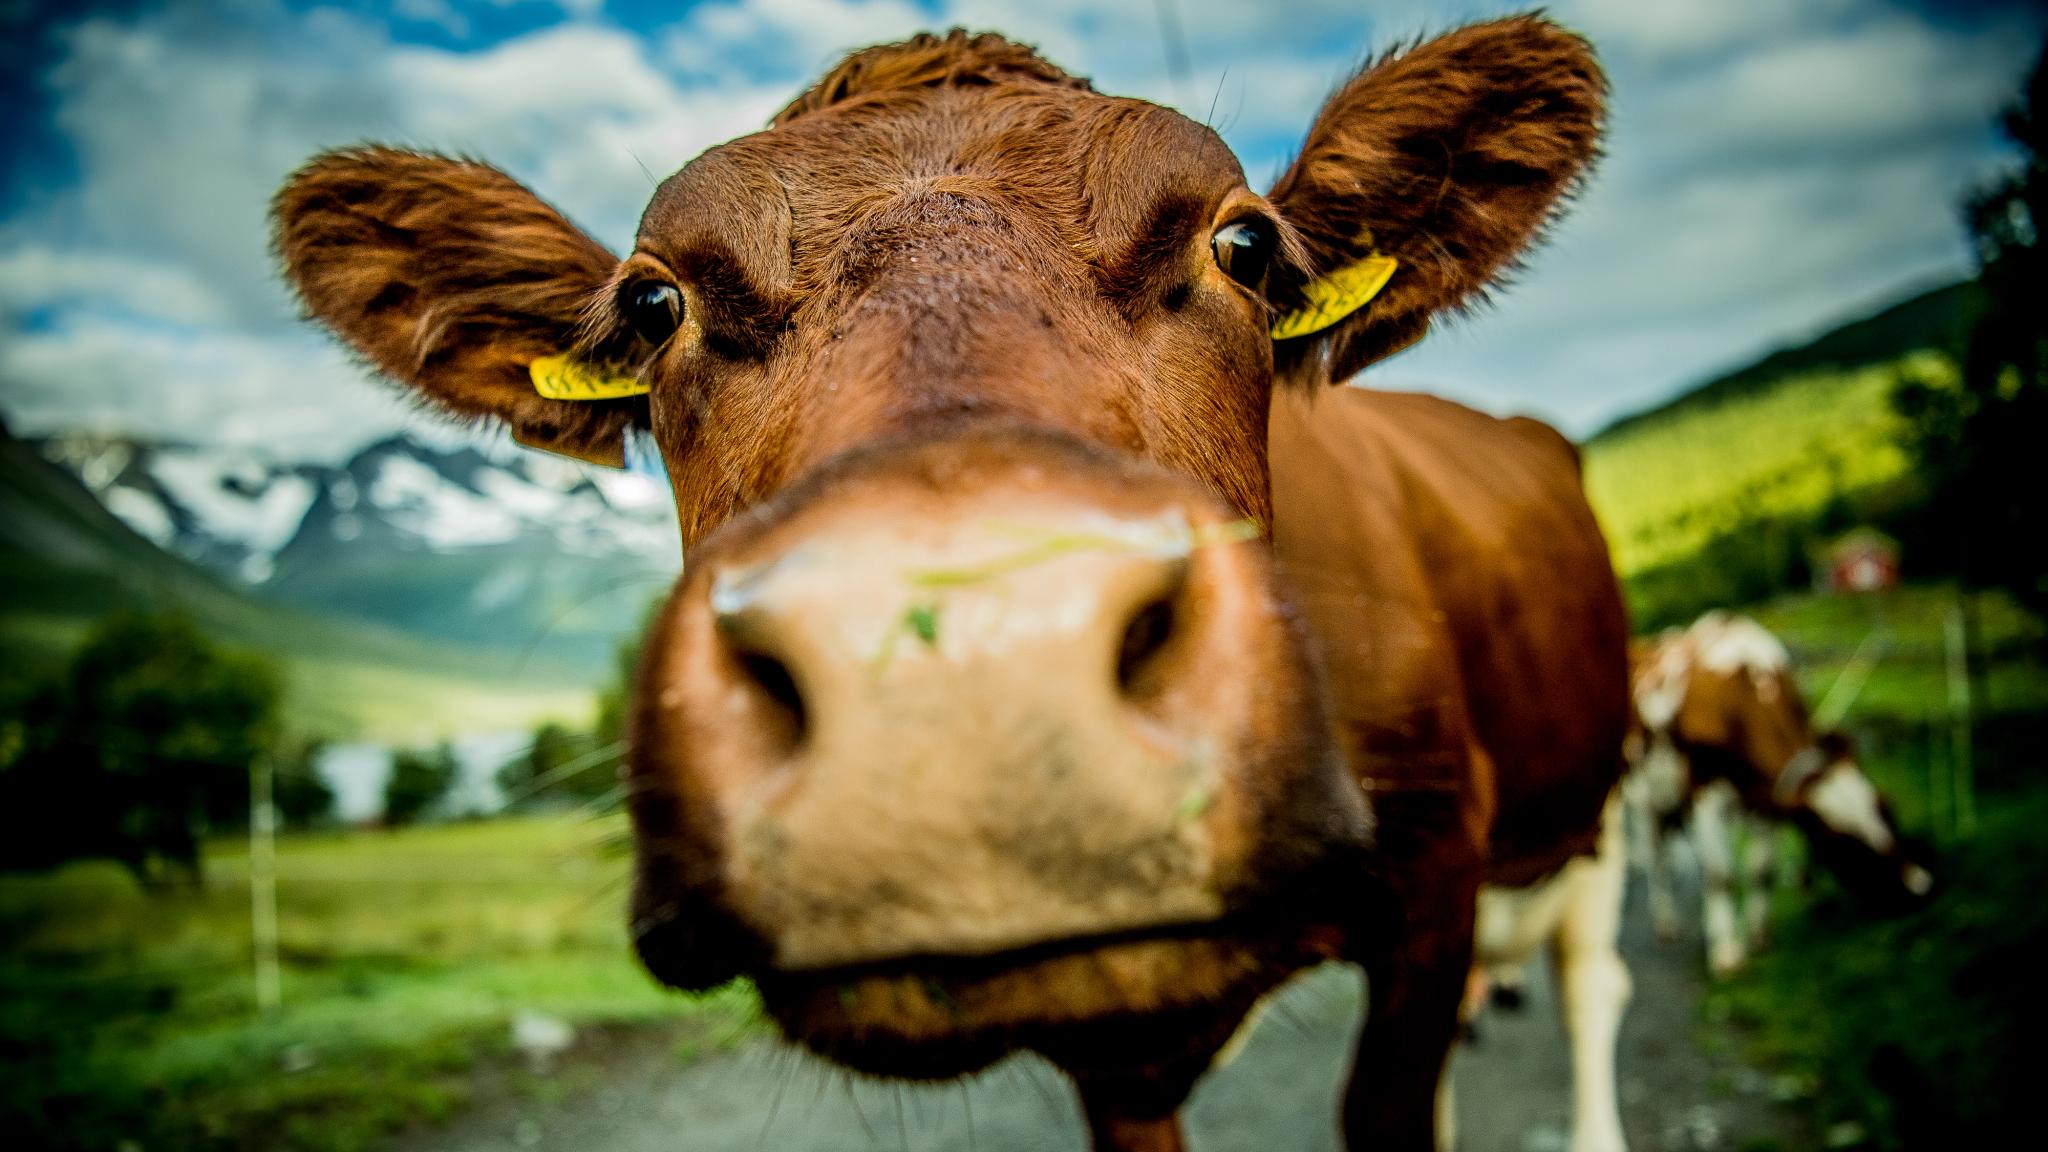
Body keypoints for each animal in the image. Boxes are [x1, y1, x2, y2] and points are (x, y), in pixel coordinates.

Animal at [1626, 612, 1936, 977]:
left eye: (1888, 809)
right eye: (1843, 841)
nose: (1919, 887)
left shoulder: (1768, 801)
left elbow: (1762, 872)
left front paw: (1760, 938)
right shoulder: (1706, 793)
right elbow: (1721, 874)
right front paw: (1728, 953)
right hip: (1644, 798)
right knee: (1657, 857)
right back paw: (1667, 924)